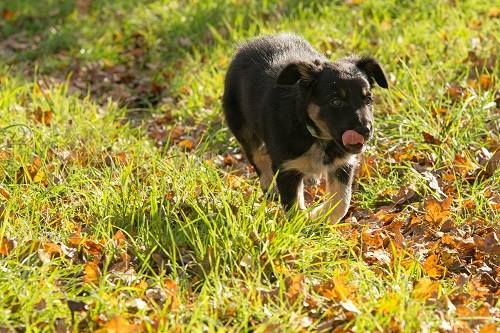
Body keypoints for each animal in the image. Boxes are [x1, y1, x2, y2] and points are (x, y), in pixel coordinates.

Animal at [221, 33, 388, 222]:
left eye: (368, 100)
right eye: (336, 102)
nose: (366, 131)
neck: (314, 134)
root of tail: (251, 42)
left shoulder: (343, 164)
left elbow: (341, 202)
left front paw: (319, 217)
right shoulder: (286, 167)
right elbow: (294, 208)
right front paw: (303, 223)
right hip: (241, 124)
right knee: (257, 156)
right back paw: (270, 187)